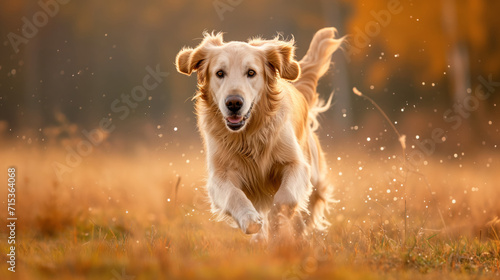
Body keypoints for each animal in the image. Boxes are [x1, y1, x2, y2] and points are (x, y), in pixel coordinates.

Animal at [176, 28, 344, 242]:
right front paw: (250, 220)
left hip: (314, 177)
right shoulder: (220, 175)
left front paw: (278, 221)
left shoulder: (296, 164)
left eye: (251, 73)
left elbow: (285, 198)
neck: (248, 135)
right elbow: (234, 195)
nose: (233, 103)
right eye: (220, 73)